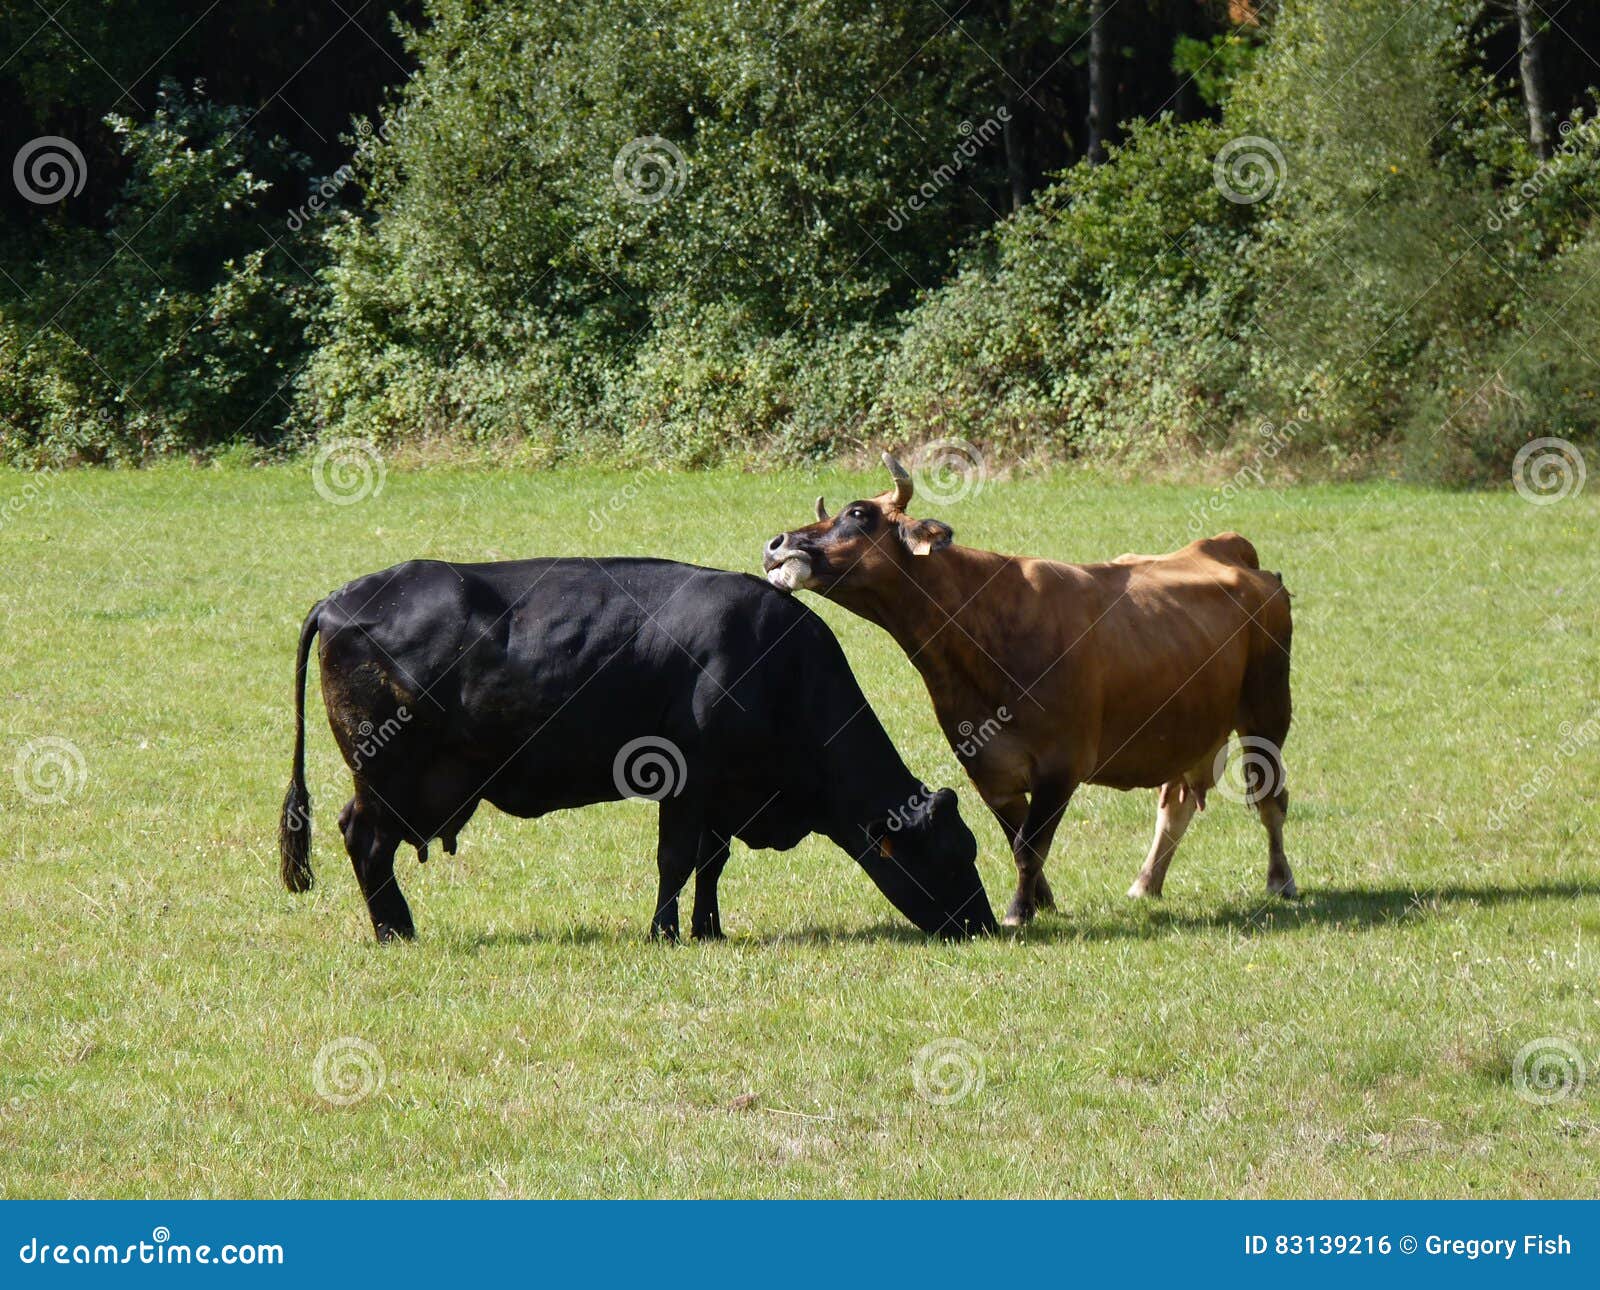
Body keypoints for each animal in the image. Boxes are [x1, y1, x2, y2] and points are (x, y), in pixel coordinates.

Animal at [278, 556, 996, 942]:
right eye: (950, 855)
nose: (986, 926)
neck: (777, 665)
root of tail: (343, 599)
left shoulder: (723, 795)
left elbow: (711, 862)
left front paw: (708, 929)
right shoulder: (686, 779)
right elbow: (676, 860)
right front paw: (665, 932)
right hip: (387, 772)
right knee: (367, 840)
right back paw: (396, 931)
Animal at [761, 454, 1296, 927]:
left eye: (857, 514)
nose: (775, 544)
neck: (984, 633)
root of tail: (1228, 548)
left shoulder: (1061, 766)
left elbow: (1029, 845)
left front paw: (1020, 911)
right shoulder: (989, 769)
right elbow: (1017, 839)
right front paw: (1043, 902)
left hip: (1267, 711)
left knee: (1271, 798)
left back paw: (1280, 881)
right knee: (1177, 802)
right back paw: (1146, 883)